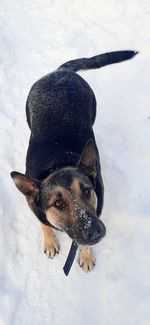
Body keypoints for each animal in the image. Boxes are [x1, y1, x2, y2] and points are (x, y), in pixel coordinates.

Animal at [10, 50, 137, 270]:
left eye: (86, 190)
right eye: (58, 203)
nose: (95, 230)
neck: (58, 165)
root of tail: (61, 71)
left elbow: (81, 242)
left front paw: (85, 255)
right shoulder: (33, 206)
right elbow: (44, 225)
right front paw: (50, 241)